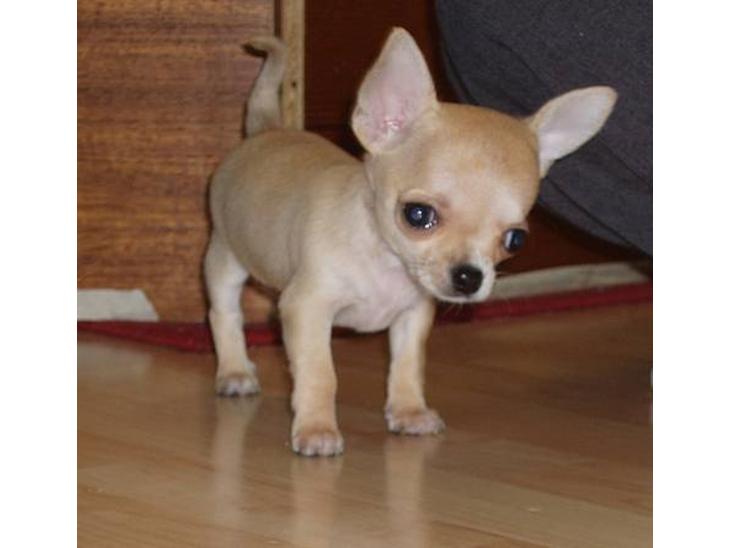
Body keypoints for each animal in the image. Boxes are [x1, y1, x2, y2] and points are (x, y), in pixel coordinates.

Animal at [205, 28, 616, 456]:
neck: (386, 261)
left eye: (515, 239)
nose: (469, 277)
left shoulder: (413, 315)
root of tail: (265, 131)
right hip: (224, 259)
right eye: (418, 215)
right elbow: (320, 373)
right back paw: (235, 371)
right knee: (224, 314)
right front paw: (317, 429)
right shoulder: (307, 308)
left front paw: (409, 412)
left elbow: (406, 366)